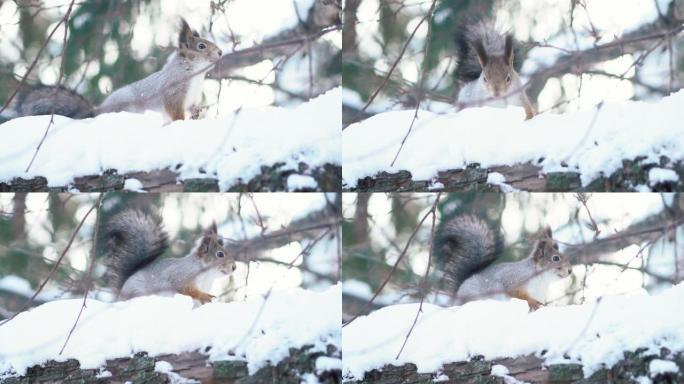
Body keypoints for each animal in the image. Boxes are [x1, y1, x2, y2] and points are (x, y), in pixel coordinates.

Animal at [17, 18, 222, 122]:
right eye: (201, 46)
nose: (220, 52)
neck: (195, 74)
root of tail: (98, 112)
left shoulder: (191, 97)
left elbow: (192, 107)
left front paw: (197, 114)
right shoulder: (173, 91)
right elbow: (174, 111)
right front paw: (182, 121)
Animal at [99, 208, 238, 304]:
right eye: (220, 254)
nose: (234, 267)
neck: (206, 275)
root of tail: (119, 296)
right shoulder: (181, 276)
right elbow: (187, 289)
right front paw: (204, 296)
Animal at [436, 214, 576, 310]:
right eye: (555, 258)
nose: (570, 271)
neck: (542, 279)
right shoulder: (514, 280)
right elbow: (517, 294)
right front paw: (532, 302)